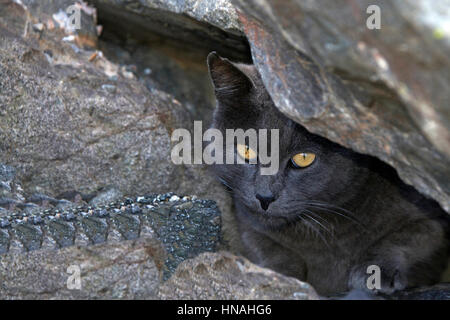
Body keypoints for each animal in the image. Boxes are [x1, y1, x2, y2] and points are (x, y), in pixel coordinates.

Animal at [207, 52, 450, 298]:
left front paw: (373, 272)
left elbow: (412, 236)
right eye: (246, 151)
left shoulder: (432, 219)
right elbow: (264, 245)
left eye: (304, 158)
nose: (264, 197)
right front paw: (276, 277)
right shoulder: (246, 219)